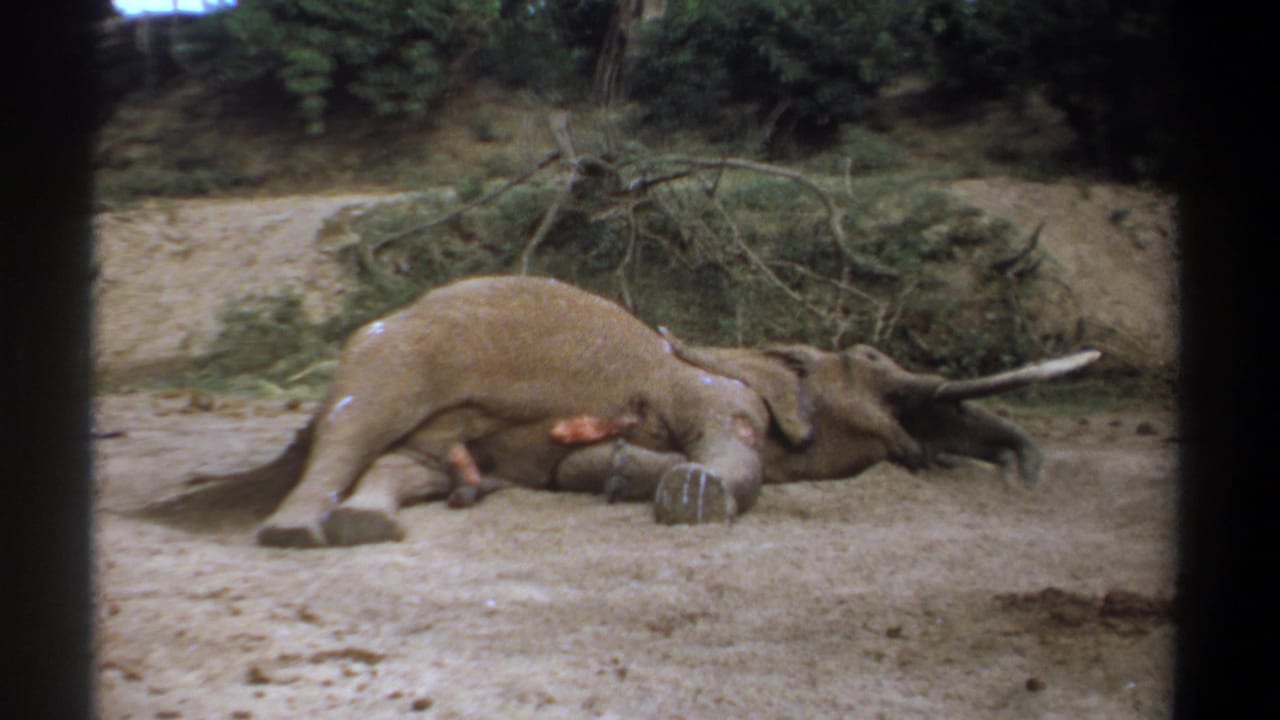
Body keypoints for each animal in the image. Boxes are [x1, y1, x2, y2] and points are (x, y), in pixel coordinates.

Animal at [149, 275, 1098, 548]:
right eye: (870, 362)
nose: (1019, 480)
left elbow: (580, 465)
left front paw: (612, 475)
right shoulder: (716, 389)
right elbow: (730, 450)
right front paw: (685, 499)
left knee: (405, 461)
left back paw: (379, 522)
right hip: (393, 354)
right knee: (355, 428)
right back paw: (295, 532)